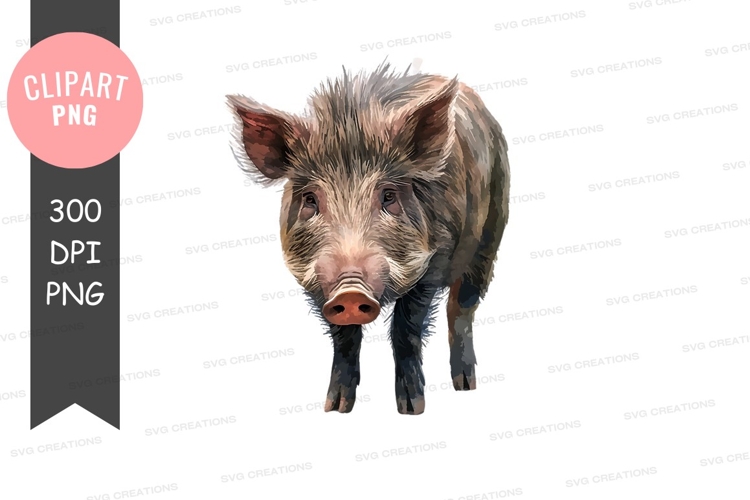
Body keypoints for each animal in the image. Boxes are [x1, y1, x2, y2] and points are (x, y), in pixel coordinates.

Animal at [226, 62, 510, 415]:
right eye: (310, 199)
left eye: (388, 195)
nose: (350, 291)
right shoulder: (318, 284)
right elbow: (344, 338)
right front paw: (335, 407)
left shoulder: (433, 262)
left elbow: (406, 329)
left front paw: (412, 409)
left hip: (491, 236)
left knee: (462, 307)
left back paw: (465, 385)